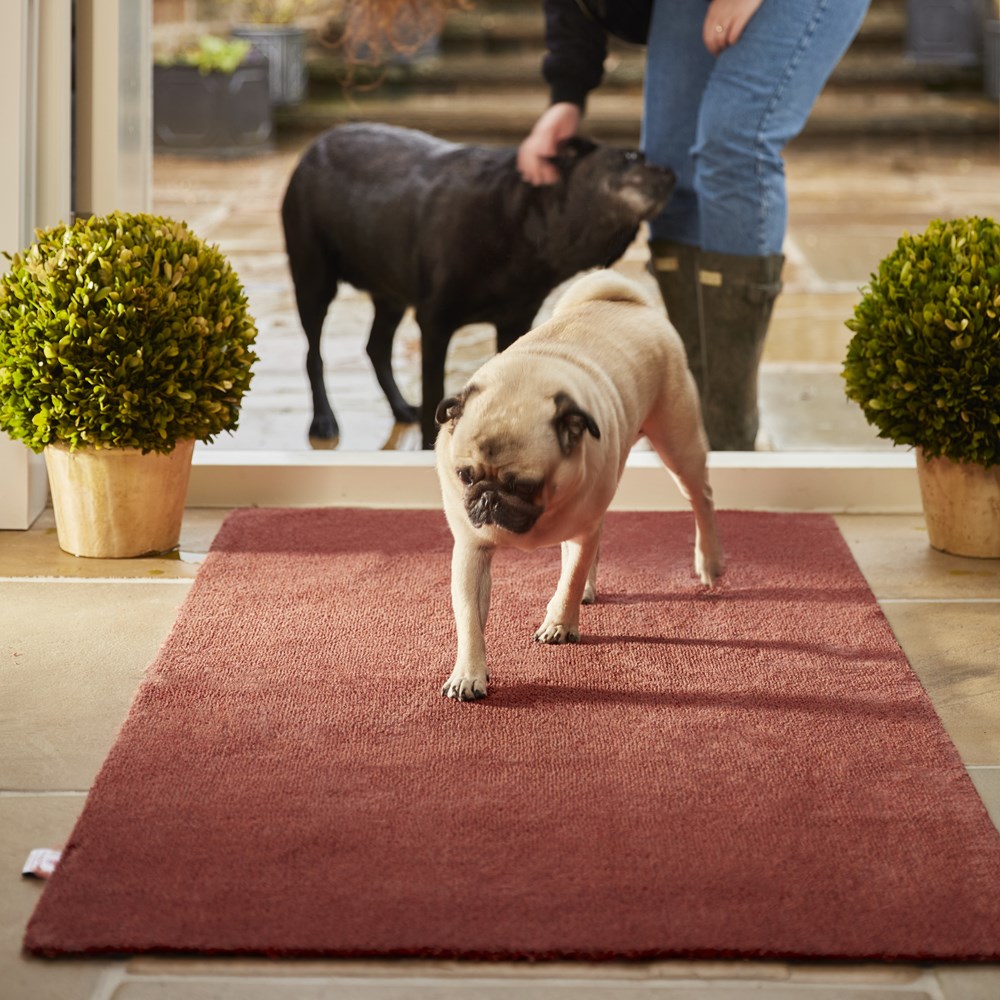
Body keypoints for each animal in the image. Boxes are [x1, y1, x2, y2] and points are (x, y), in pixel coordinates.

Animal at [278, 122, 676, 450]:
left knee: (375, 347)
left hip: (389, 293)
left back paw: (401, 408)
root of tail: (313, 148)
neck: (527, 224)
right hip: (313, 279)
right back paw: (323, 421)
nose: (672, 172)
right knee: (314, 355)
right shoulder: (434, 323)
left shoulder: (515, 322)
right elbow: (435, 396)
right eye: (629, 157)